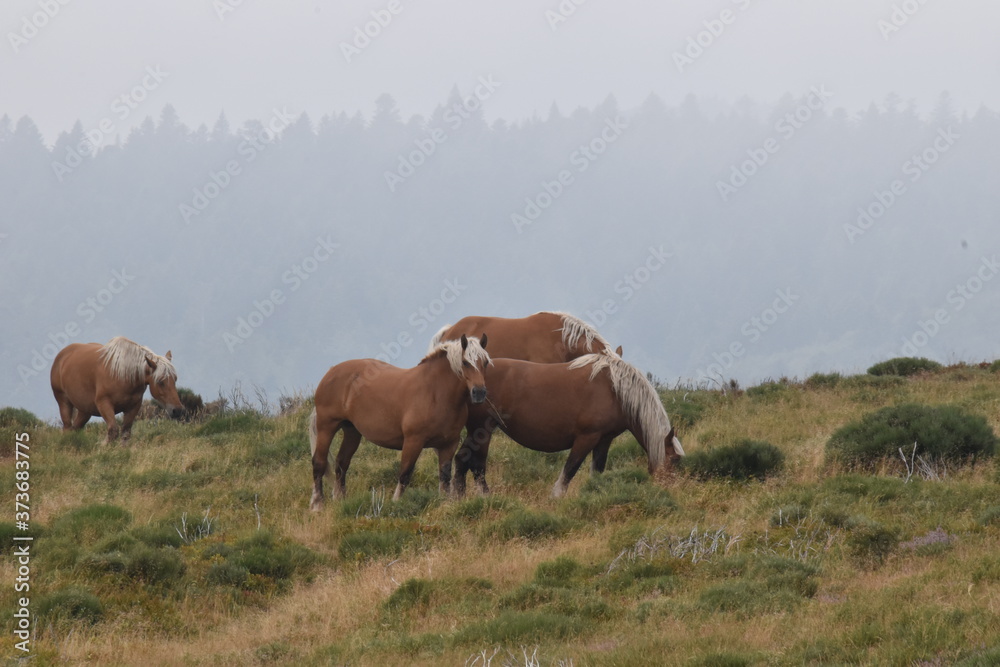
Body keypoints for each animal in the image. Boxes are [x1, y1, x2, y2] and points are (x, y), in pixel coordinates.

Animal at [50, 336, 185, 443]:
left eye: (174, 379)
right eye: (160, 382)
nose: (177, 410)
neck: (123, 374)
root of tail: (62, 356)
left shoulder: (133, 407)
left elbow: (125, 433)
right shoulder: (104, 404)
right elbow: (113, 431)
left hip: (85, 410)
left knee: (75, 428)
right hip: (64, 402)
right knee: (67, 428)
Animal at [309, 334, 491, 509]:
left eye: (485, 363)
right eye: (465, 363)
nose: (479, 392)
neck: (435, 392)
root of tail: (331, 372)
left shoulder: (448, 444)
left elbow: (444, 477)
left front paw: (444, 503)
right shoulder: (413, 441)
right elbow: (405, 473)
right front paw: (396, 502)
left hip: (352, 431)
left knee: (342, 463)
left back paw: (341, 500)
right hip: (327, 427)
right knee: (319, 463)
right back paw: (317, 505)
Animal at [453, 353, 684, 498]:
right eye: (673, 460)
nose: (672, 490)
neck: (615, 389)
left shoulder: (604, 440)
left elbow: (596, 471)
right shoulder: (586, 438)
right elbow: (569, 471)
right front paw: (556, 498)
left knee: (462, 459)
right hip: (482, 431)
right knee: (476, 464)